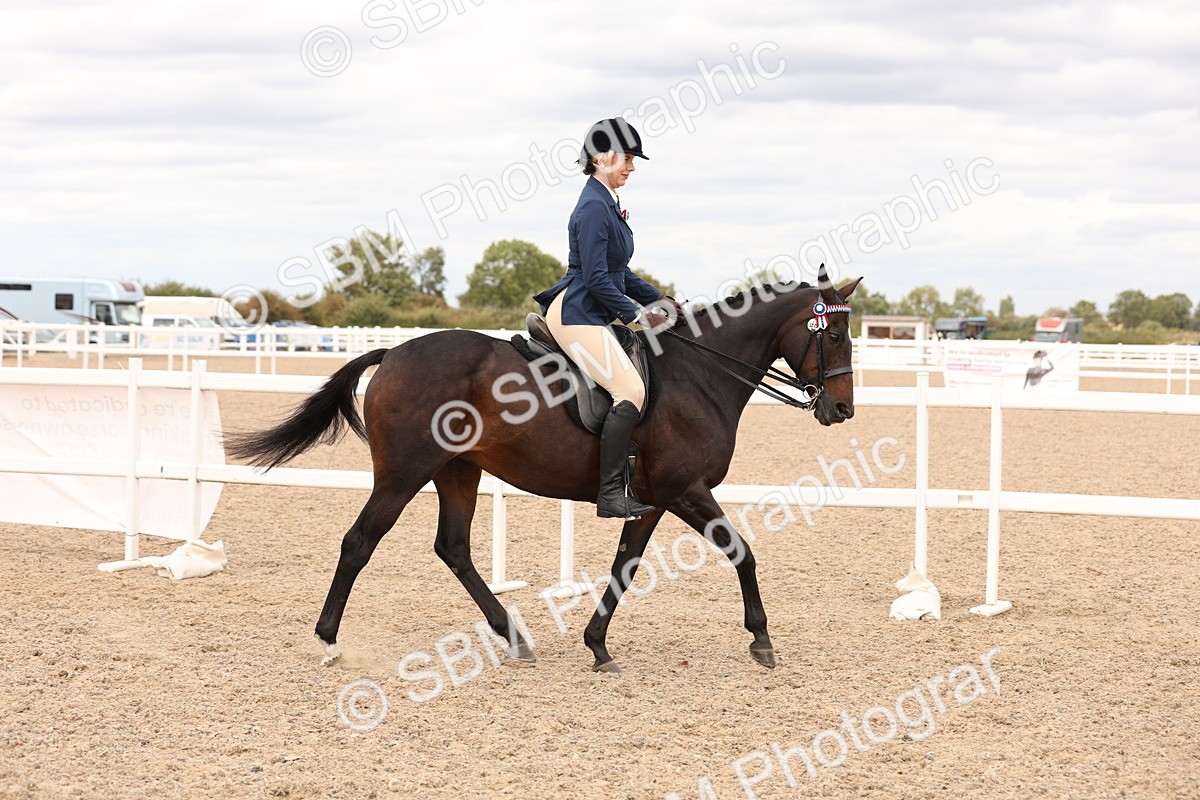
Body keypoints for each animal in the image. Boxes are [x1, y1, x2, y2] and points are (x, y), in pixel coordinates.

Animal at [226, 266, 861, 673]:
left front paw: (597, 645)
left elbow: (625, 565)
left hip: (458, 470)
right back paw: (329, 643)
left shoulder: (653, 499)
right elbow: (742, 552)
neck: (700, 375)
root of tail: (395, 353)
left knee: (453, 547)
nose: (841, 410)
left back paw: (513, 637)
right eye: (832, 333)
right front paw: (762, 641)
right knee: (360, 542)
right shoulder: (686, 490)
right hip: (404, 473)